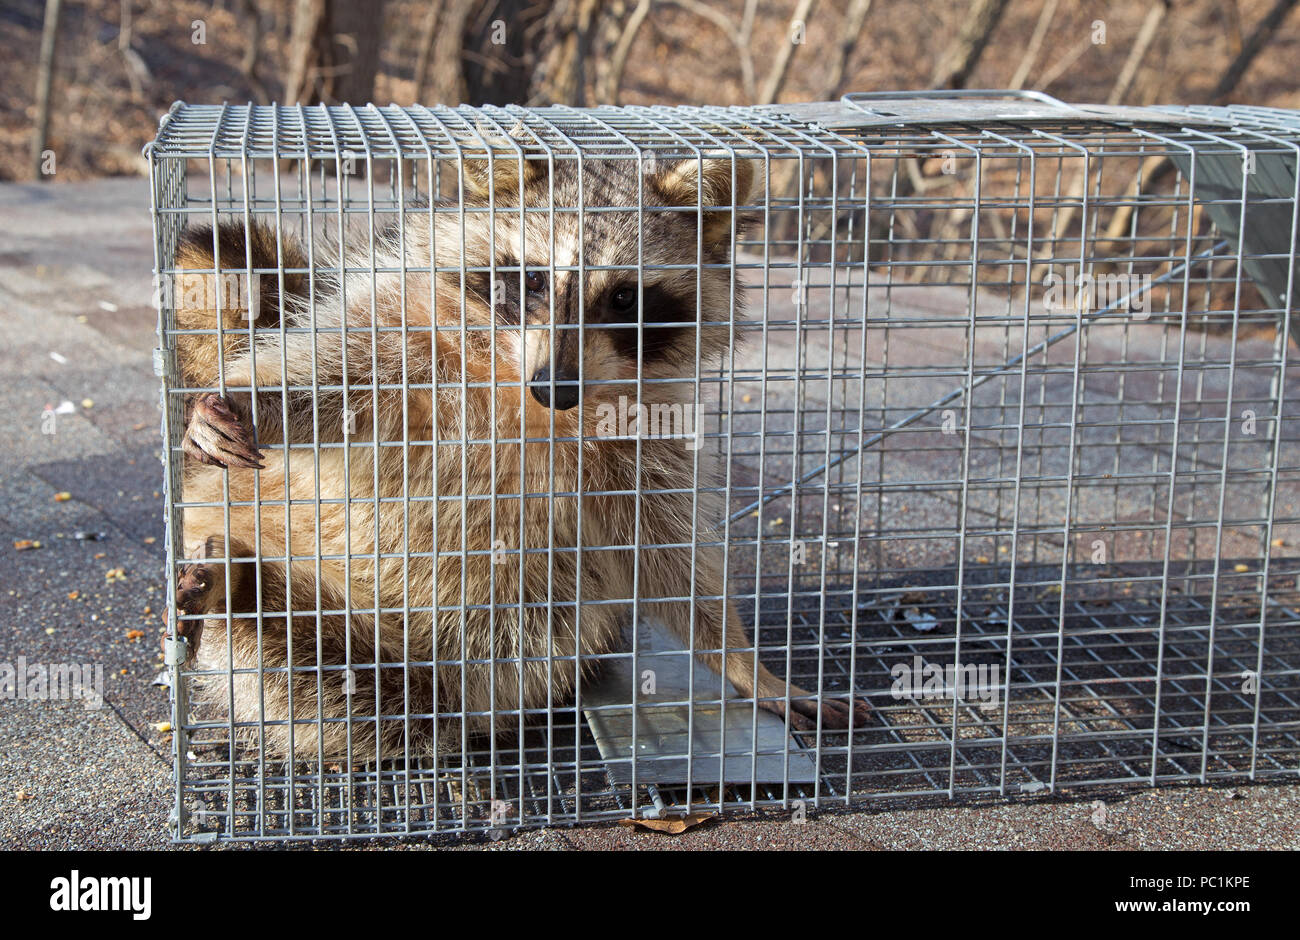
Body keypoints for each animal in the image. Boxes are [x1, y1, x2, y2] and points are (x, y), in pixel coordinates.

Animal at [170, 148, 863, 764]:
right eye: (532, 278)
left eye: (623, 298)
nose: (554, 387)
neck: (520, 391)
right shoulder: (412, 334)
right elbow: (327, 376)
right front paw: (251, 399)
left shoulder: (645, 431)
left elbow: (665, 551)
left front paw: (745, 665)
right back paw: (238, 584)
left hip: (480, 658)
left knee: (360, 686)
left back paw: (242, 589)